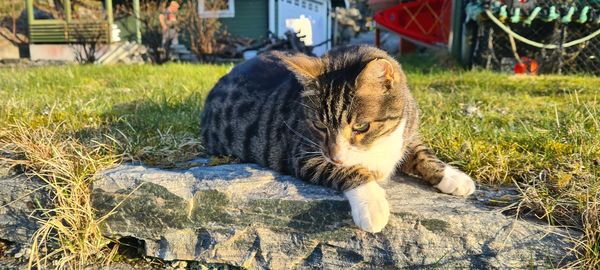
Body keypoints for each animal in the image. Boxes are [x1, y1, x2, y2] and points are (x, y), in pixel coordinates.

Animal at [202, 45, 474, 233]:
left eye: (362, 126)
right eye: (319, 125)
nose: (336, 155)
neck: (377, 145)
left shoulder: (406, 132)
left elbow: (421, 152)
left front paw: (453, 177)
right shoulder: (304, 154)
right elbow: (348, 171)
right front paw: (373, 205)